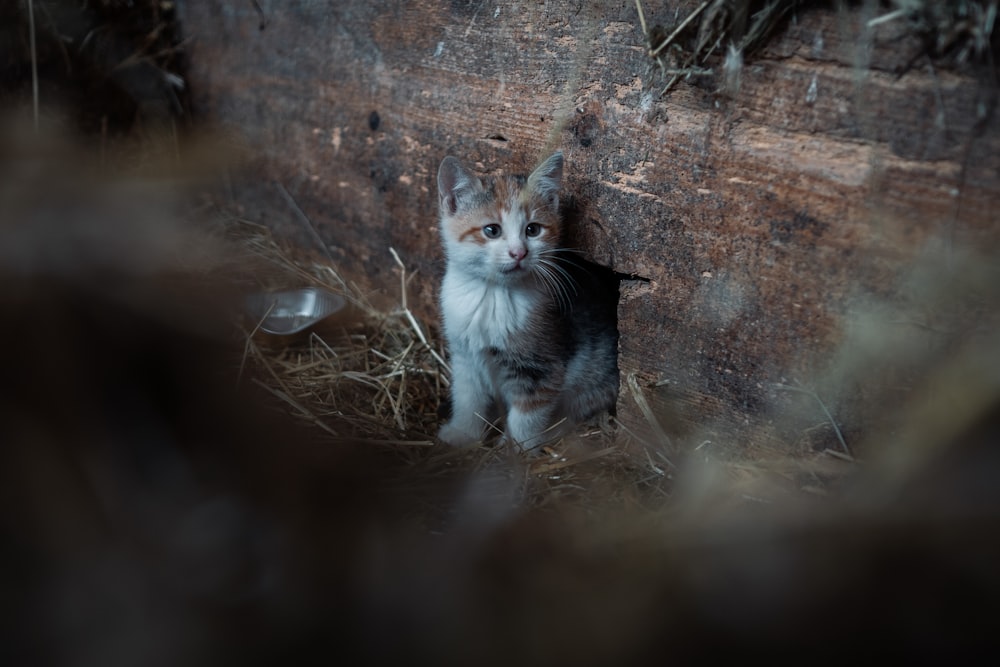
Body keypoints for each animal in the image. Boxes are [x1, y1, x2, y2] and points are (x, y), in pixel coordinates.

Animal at [436, 153, 616, 452]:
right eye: (491, 230)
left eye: (533, 229)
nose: (519, 253)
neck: (493, 294)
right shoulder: (465, 356)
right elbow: (468, 399)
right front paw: (462, 434)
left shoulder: (540, 368)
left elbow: (527, 415)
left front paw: (515, 450)